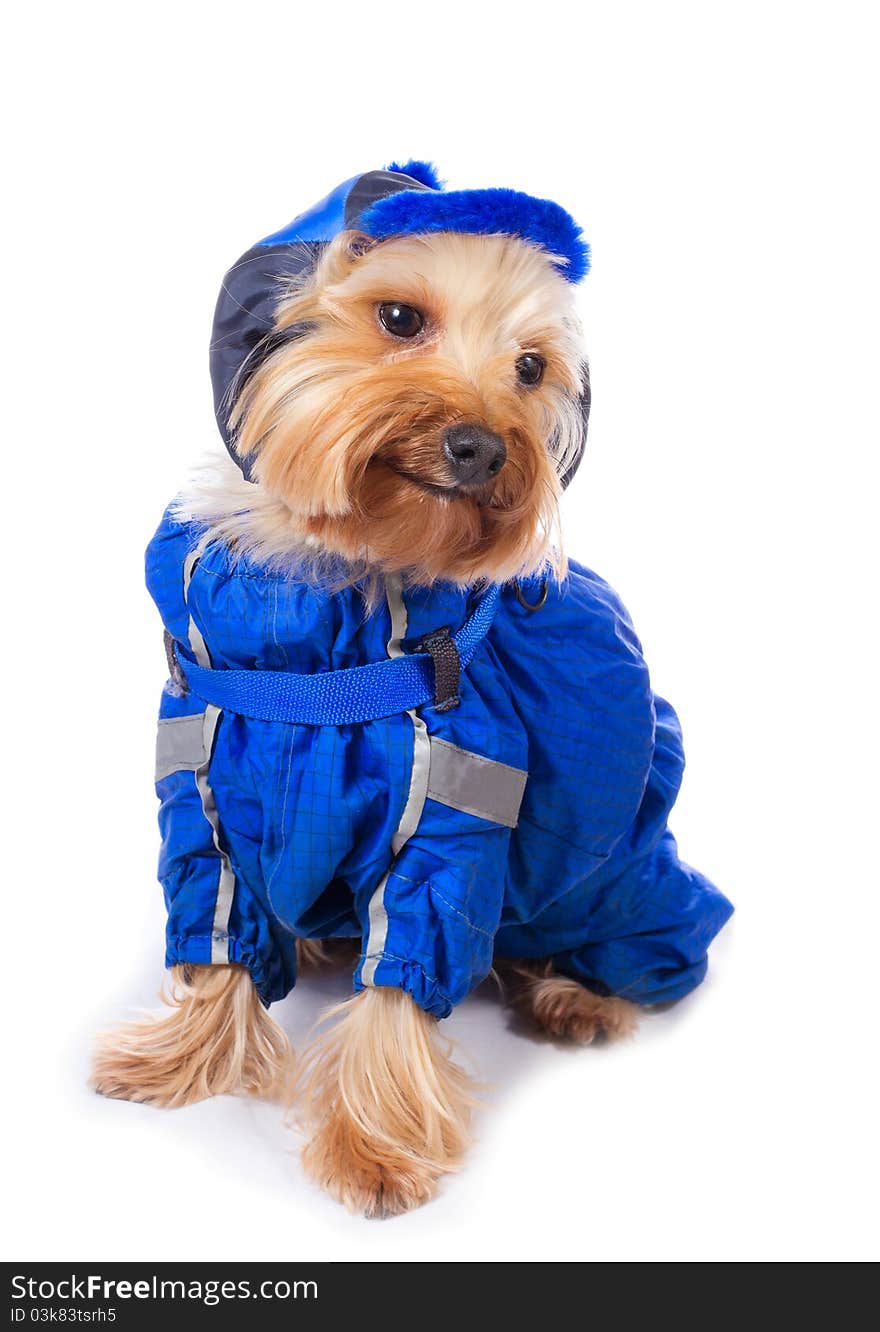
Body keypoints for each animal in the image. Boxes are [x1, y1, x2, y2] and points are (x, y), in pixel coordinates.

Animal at [92, 163, 729, 1220]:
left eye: (530, 369)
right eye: (399, 316)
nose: (481, 446)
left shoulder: (455, 807)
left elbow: (405, 973)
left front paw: (371, 1152)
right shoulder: (201, 777)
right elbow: (215, 931)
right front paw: (179, 1060)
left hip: (622, 868)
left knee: (650, 931)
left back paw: (578, 996)